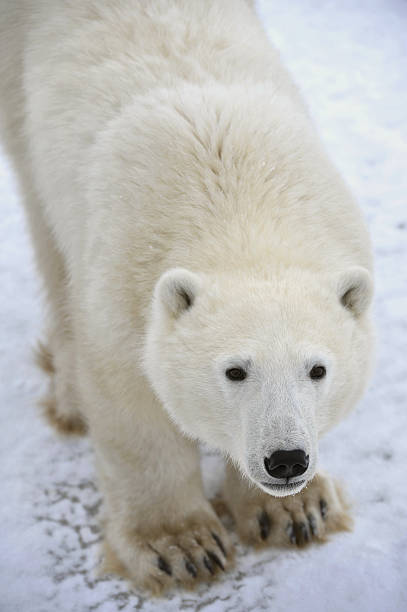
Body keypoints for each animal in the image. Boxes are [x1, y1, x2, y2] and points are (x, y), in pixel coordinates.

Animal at [0, 0, 374, 596]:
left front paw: (297, 512)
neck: (238, 209)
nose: (287, 461)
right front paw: (184, 547)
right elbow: (134, 411)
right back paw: (69, 398)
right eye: (235, 371)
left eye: (317, 369)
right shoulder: (122, 288)